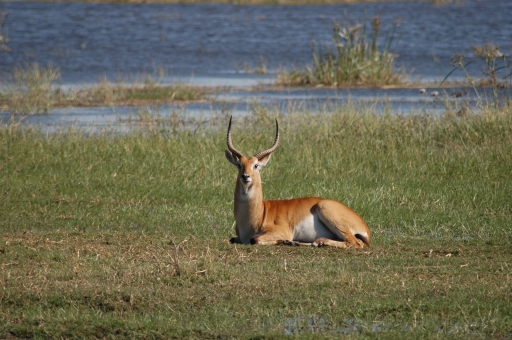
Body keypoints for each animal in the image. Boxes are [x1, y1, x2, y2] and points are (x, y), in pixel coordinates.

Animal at [226, 116, 370, 247]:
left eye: (256, 165)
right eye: (239, 165)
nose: (245, 176)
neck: (259, 213)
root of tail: (364, 227)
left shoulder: (282, 231)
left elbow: (254, 239)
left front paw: (286, 241)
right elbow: (232, 239)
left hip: (328, 212)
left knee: (355, 243)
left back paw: (316, 242)